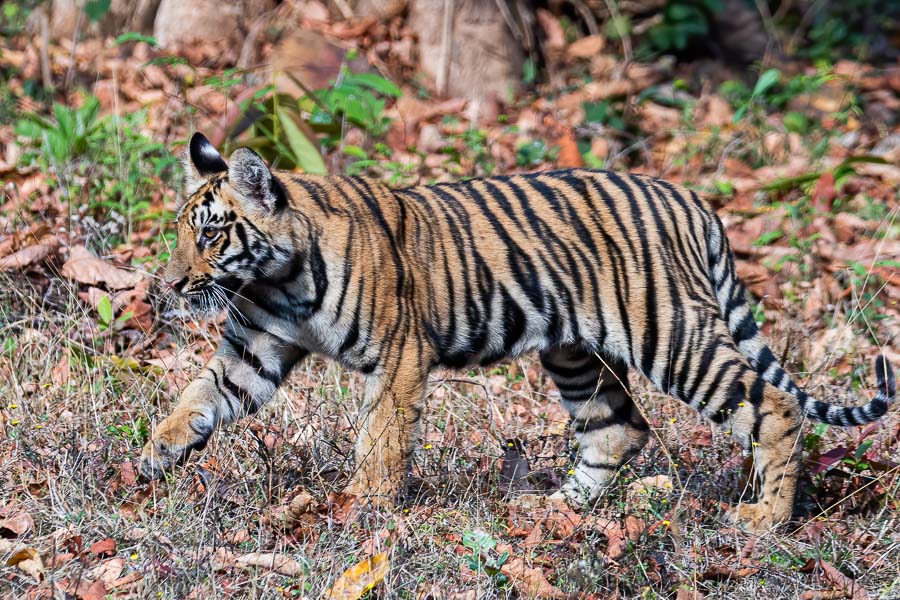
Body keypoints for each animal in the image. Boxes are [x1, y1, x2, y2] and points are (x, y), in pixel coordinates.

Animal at [139, 132, 892, 528]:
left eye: (210, 235)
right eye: (181, 230)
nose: (169, 286)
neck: (279, 279)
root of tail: (690, 198)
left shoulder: (398, 356)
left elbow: (380, 439)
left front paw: (366, 507)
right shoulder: (254, 348)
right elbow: (198, 397)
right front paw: (151, 458)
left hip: (673, 336)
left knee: (775, 405)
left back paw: (765, 519)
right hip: (575, 352)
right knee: (618, 428)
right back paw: (552, 509)